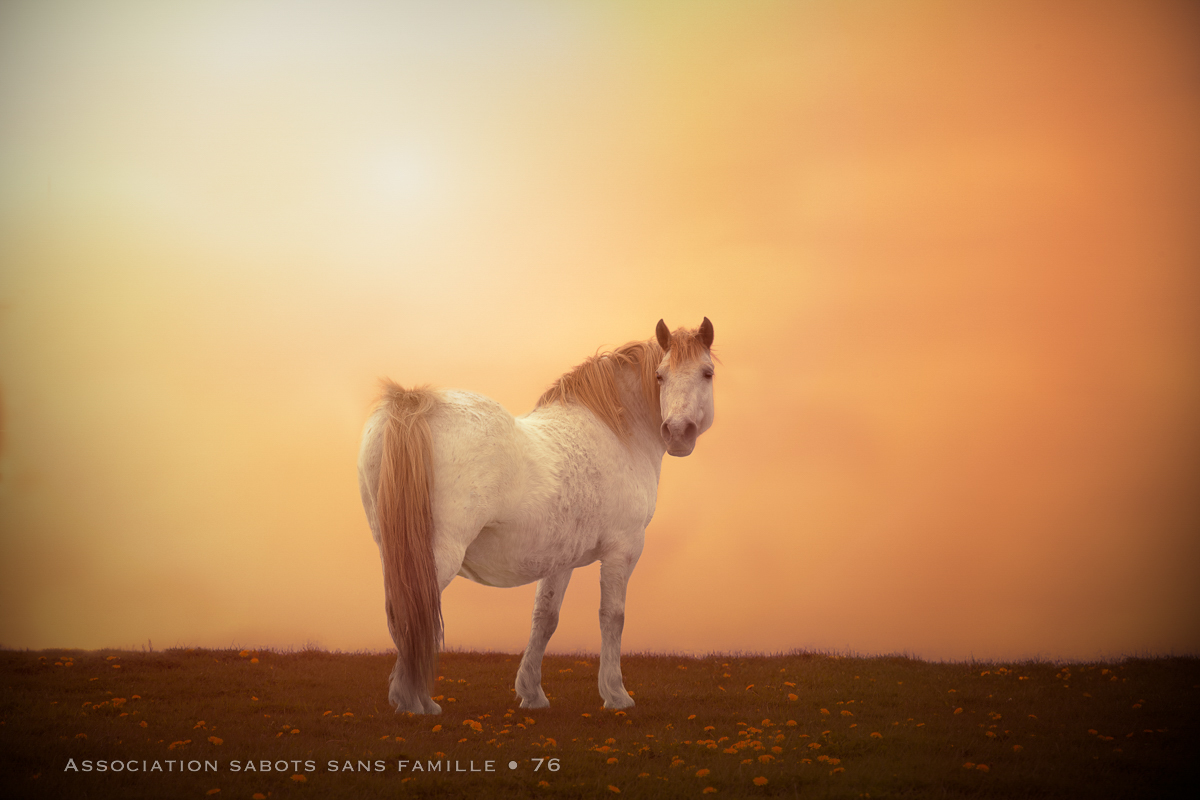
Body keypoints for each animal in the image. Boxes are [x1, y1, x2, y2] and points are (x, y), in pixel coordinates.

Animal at [357, 318, 716, 714]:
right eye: (660, 376)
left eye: (707, 373)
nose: (678, 432)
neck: (617, 433)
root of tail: (413, 405)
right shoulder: (623, 550)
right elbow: (612, 617)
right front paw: (616, 694)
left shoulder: (560, 559)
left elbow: (545, 618)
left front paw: (532, 693)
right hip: (436, 555)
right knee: (415, 613)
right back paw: (416, 702)